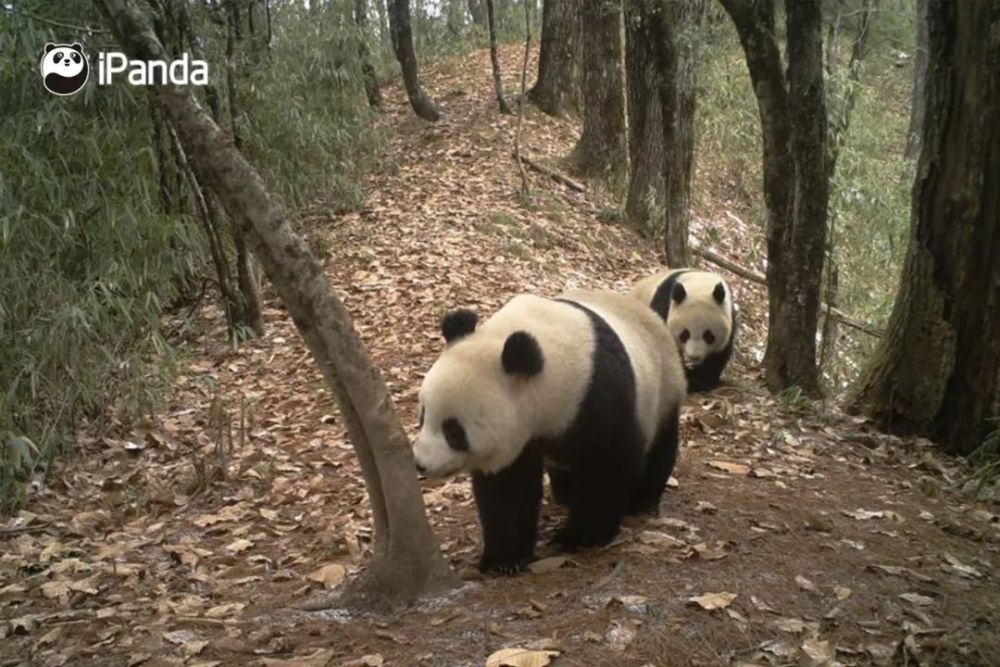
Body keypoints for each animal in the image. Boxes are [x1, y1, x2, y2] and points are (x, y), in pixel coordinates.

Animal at [410, 290, 684, 576]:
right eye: (423, 415)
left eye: (454, 430)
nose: (421, 463)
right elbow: (507, 488)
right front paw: (504, 559)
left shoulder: (600, 394)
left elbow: (607, 464)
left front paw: (578, 537)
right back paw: (565, 493)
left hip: (662, 389)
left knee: (659, 447)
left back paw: (640, 500)